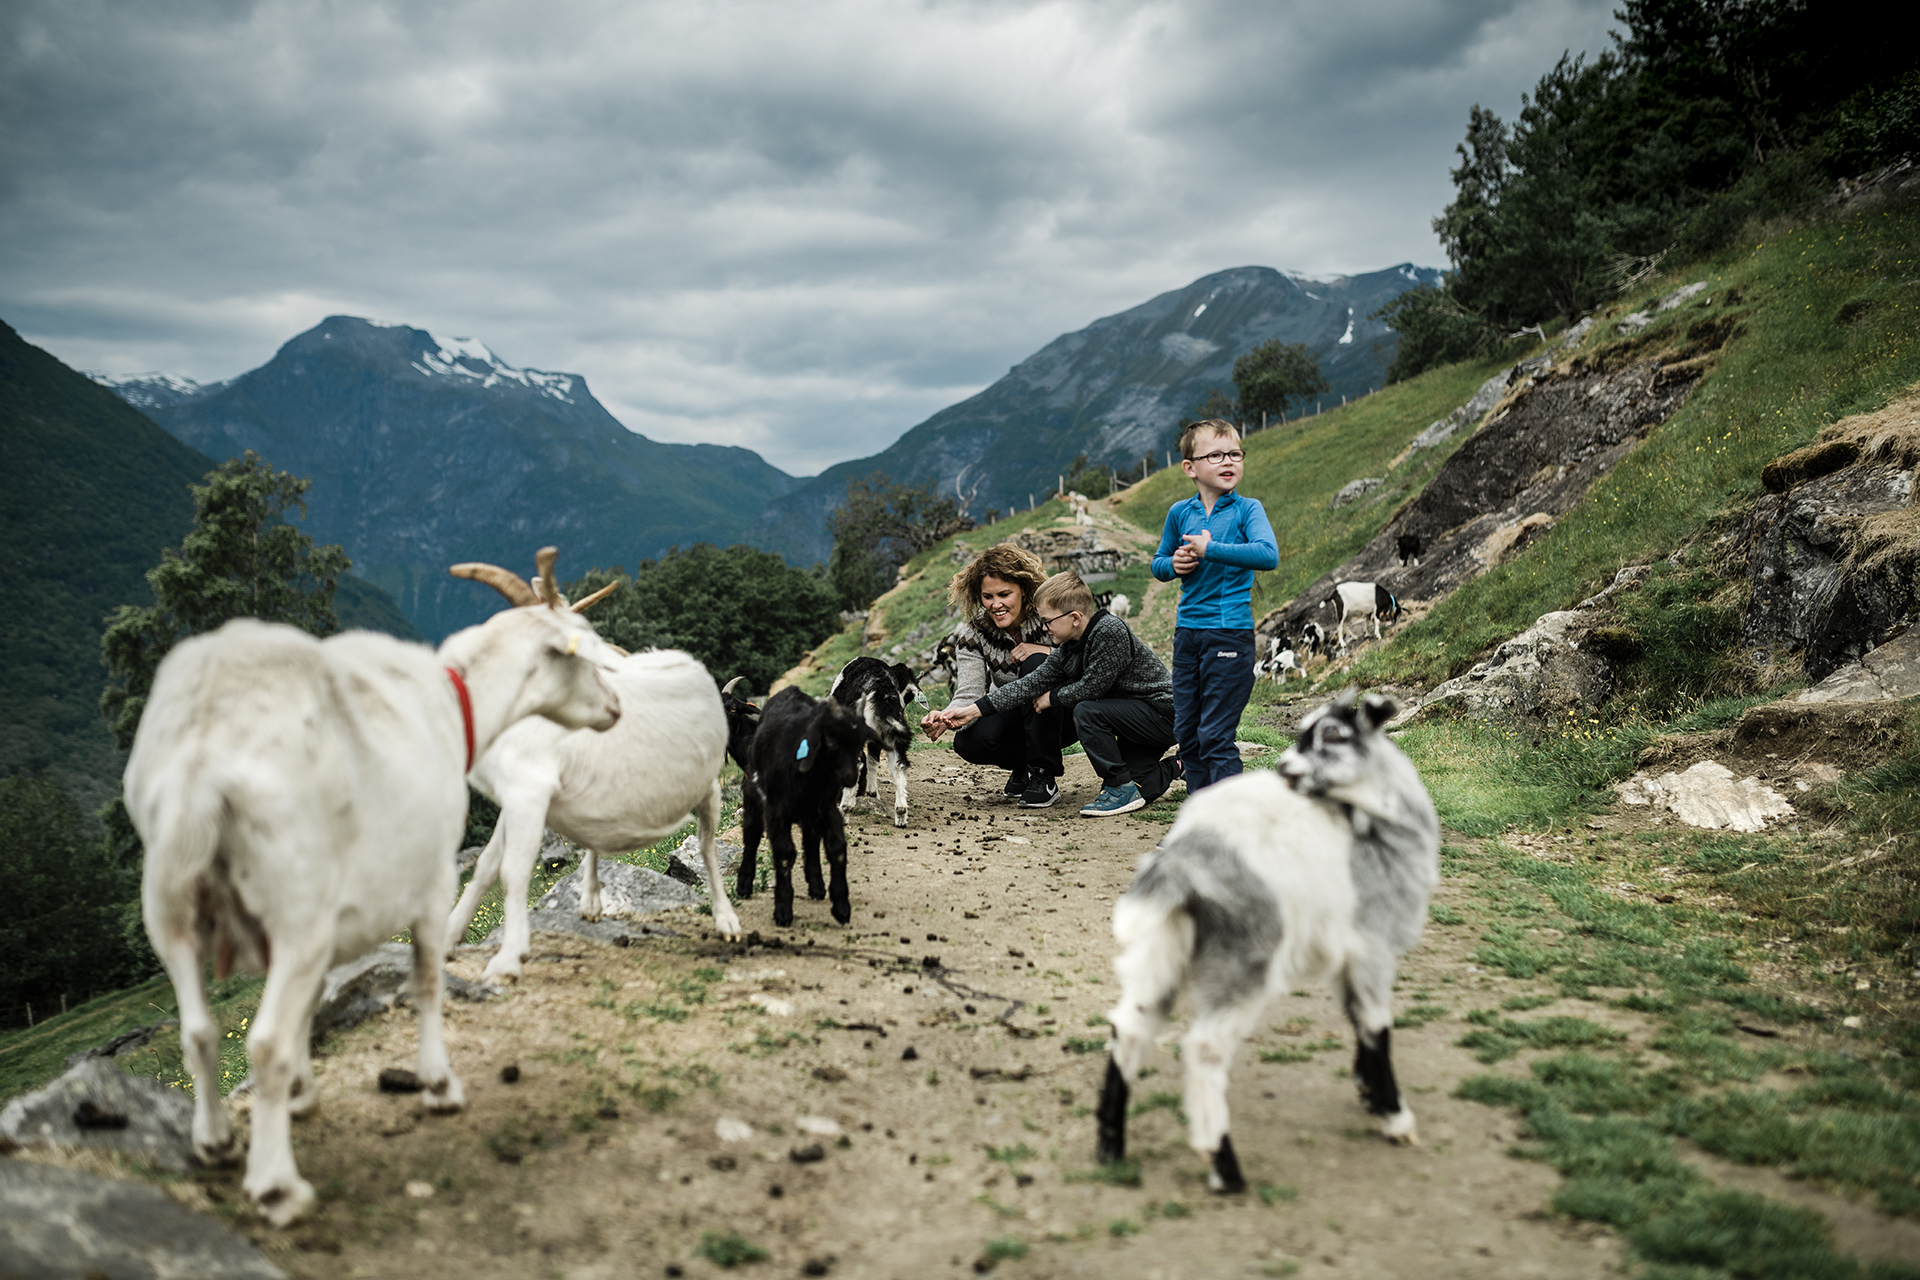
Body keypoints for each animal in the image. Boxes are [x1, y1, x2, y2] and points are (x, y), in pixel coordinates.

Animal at [127, 556, 618, 1220]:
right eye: (583, 646)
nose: (615, 706)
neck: (454, 702)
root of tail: (202, 762)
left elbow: (312, 1003)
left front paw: (304, 1095)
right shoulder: (429, 880)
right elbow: (429, 980)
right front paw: (438, 1084)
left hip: (171, 903)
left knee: (199, 1031)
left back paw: (216, 1143)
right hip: (297, 905)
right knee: (263, 1043)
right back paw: (277, 1185)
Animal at [449, 545, 741, 974]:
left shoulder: (530, 790)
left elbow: (512, 870)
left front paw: (507, 958)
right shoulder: (518, 796)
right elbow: (487, 863)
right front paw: (450, 936)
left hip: (707, 788)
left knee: (705, 846)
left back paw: (727, 921)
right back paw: (589, 901)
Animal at [1098, 694, 1443, 1197]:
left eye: (1333, 734)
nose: (1284, 769)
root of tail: (1180, 864)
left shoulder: (1348, 956)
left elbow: (1357, 1020)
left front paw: (1368, 1093)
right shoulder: (1372, 947)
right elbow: (1377, 1029)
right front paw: (1395, 1116)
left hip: (1160, 948)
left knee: (1127, 1028)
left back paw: (1110, 1144)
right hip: (1244, 958)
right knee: (1204, 1048)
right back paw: (1223, 1166)